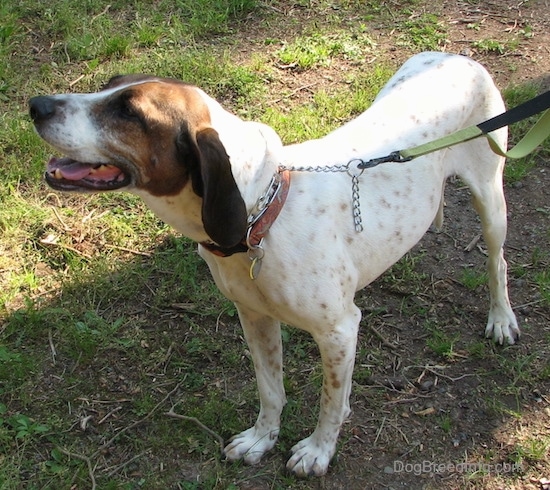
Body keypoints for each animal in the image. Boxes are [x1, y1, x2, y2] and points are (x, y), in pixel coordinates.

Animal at [30, 52, 520, 474]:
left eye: (129, 112)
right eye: (107, 86)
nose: (36, 105)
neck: (261, 216)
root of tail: (457, 56)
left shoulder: (339, 331)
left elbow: (331, 401)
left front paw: (318, 451)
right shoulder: (254, 316)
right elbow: (270, 389)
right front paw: (261, 439)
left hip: (491, 200)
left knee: (497, 264)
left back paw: (501, 319)